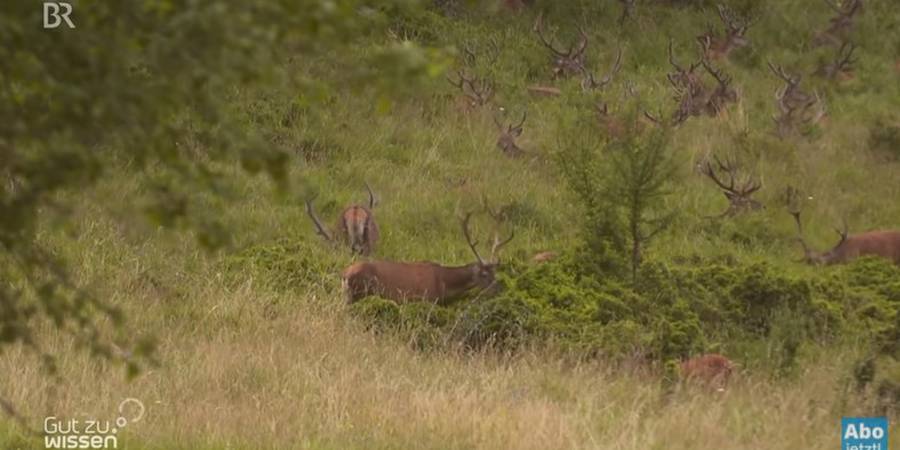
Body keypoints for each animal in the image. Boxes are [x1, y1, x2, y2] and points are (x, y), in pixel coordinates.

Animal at [342, 212, 516, 304]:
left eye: (495, 273)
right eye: (484, 274)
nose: (499, 290)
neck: (443, 283)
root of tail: (344, 275)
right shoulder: (426, 298)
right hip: (358, 293)